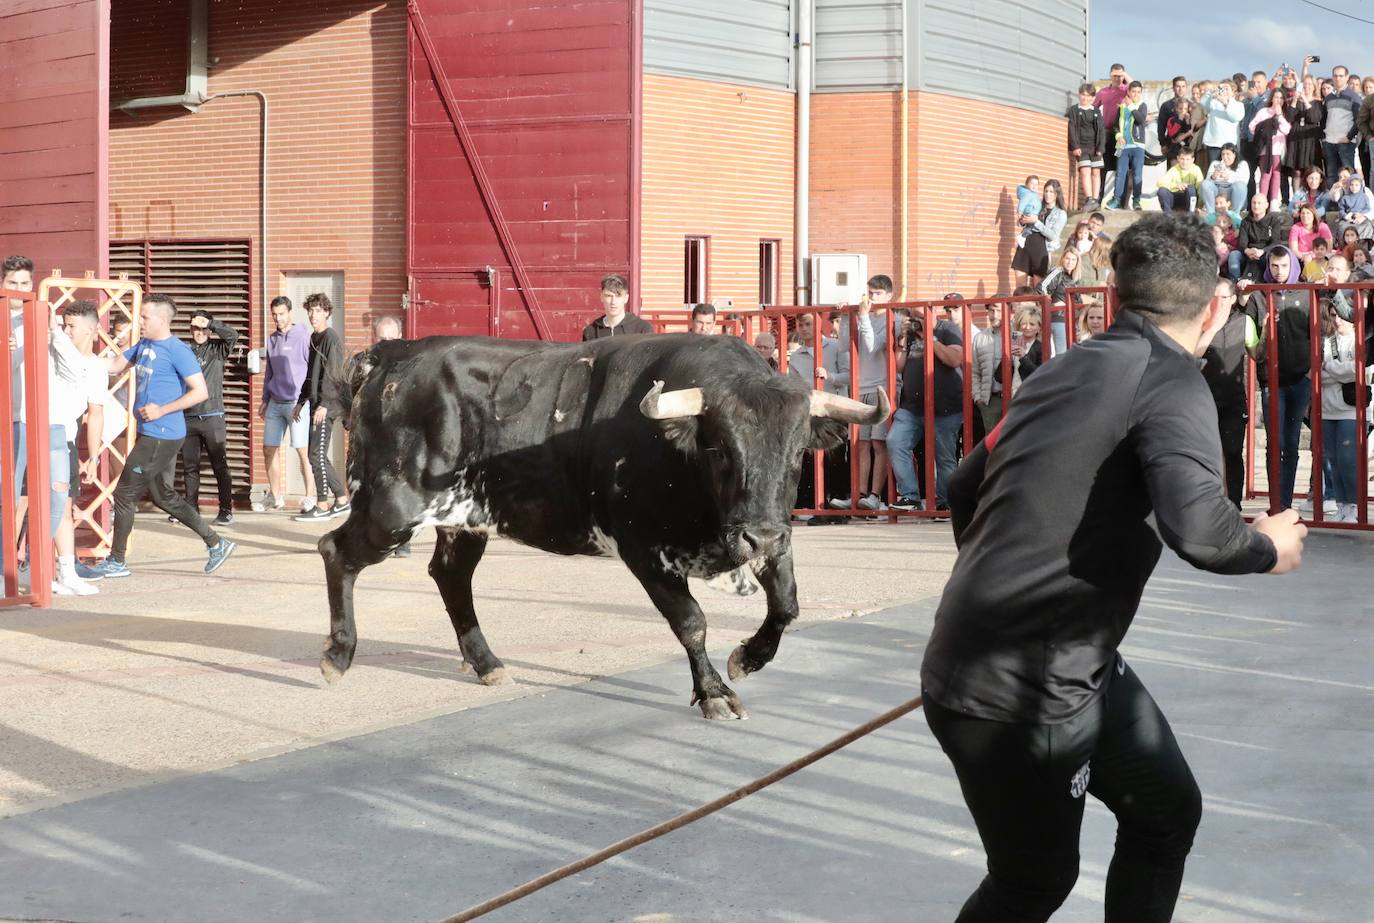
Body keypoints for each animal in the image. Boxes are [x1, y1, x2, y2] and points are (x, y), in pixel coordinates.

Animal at [316, 332, 890, 719]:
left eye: (798, 455)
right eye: (722, 450)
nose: (760, 536)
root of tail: (392, 356)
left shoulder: (767, 537)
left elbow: (787, 605)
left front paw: (748, 658)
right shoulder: (644, 550)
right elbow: (692, 622)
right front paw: (713, 692)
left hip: (465, 518)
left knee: (451, 577)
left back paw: (486, 662)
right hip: (392, 509)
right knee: (335, 551)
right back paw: (338, 655)